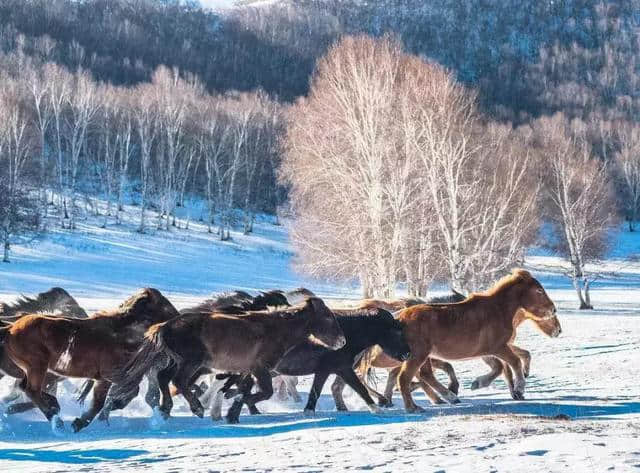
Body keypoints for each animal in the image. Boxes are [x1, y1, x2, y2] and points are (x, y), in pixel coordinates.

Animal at [0, 288, 179, 432]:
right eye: (164, 304)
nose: (177, 317)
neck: (121, 331)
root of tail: (10, 328)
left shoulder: (103, 379)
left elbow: (105, 400)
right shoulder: (108, 376)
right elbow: (102, 402)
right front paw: (78, 424)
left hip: (35, 370)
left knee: (25, 388)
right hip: (37, 366)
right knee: (31, 390)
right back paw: (56, 422)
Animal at [106, 296, 344, 422]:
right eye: (327, 317)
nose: (342, 341)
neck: (277, 329)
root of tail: (166, 325)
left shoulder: (248, 370)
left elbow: (245, 390)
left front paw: (232, 413)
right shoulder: (260, 368)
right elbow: (263, 392)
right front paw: (236, 405)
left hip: (179, 361)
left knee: (165, 379)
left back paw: (166, 409)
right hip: (192, 362)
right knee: (178, 382)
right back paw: (196, 408)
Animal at [384, 268, 560, 412]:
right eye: (539, 290)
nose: (553, 309)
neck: (499, 310)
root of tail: (399, 317)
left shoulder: (491, 351)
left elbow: (504, 366)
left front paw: (481, 383)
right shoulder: (499, 347)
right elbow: (514, 362)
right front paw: (519, 389)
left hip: (424, 356)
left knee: (425, 375)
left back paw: (450, 397)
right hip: (417, 355)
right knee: (405, 378)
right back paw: (413, 407)